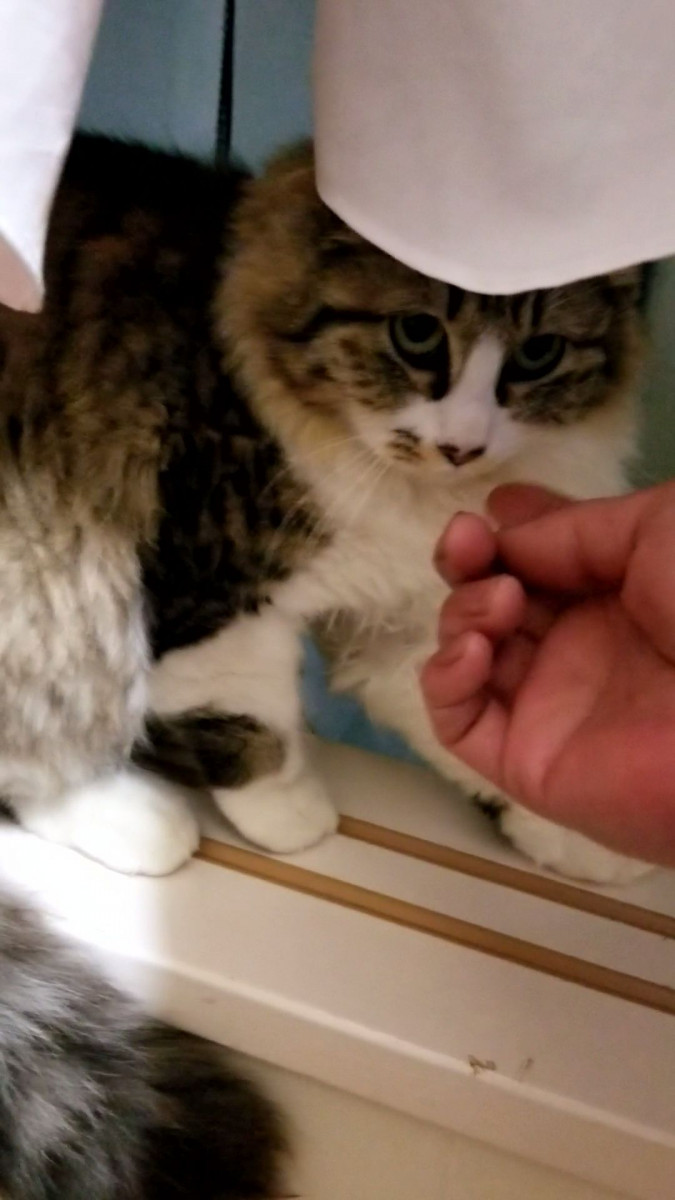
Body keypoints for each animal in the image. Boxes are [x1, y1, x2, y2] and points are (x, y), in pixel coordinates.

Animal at [0, 133, 649, 884]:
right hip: (50, 583)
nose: (461, 446)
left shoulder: (407, 616)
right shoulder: (212, 590)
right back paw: (137, 822)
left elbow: (473, 723)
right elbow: (249, 719)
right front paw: (291, 816)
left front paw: (573, 834)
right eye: (417, 333)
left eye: (539, 353)